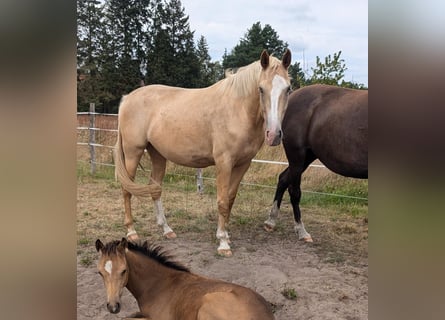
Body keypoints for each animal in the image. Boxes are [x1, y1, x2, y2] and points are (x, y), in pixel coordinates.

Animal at [112, 48, 290, 256]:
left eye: (288, 89)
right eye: (261, 89)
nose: (274, 135)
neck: (237, 109)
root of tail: (127, 98)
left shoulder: (242, 164)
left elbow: (230, 199)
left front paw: (226, 234)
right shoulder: (224, 163)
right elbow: (222, 201)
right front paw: (223, 242)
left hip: (157, 155)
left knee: (155, 189)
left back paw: (167, 230)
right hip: (133, 152)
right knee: (127, 189)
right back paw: (132, 232)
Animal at [264, 84, 368, 241]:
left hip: (307, 157)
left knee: (283, 179)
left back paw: (271, 221)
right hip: (297, 155)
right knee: (294, 191)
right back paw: (301, 231)